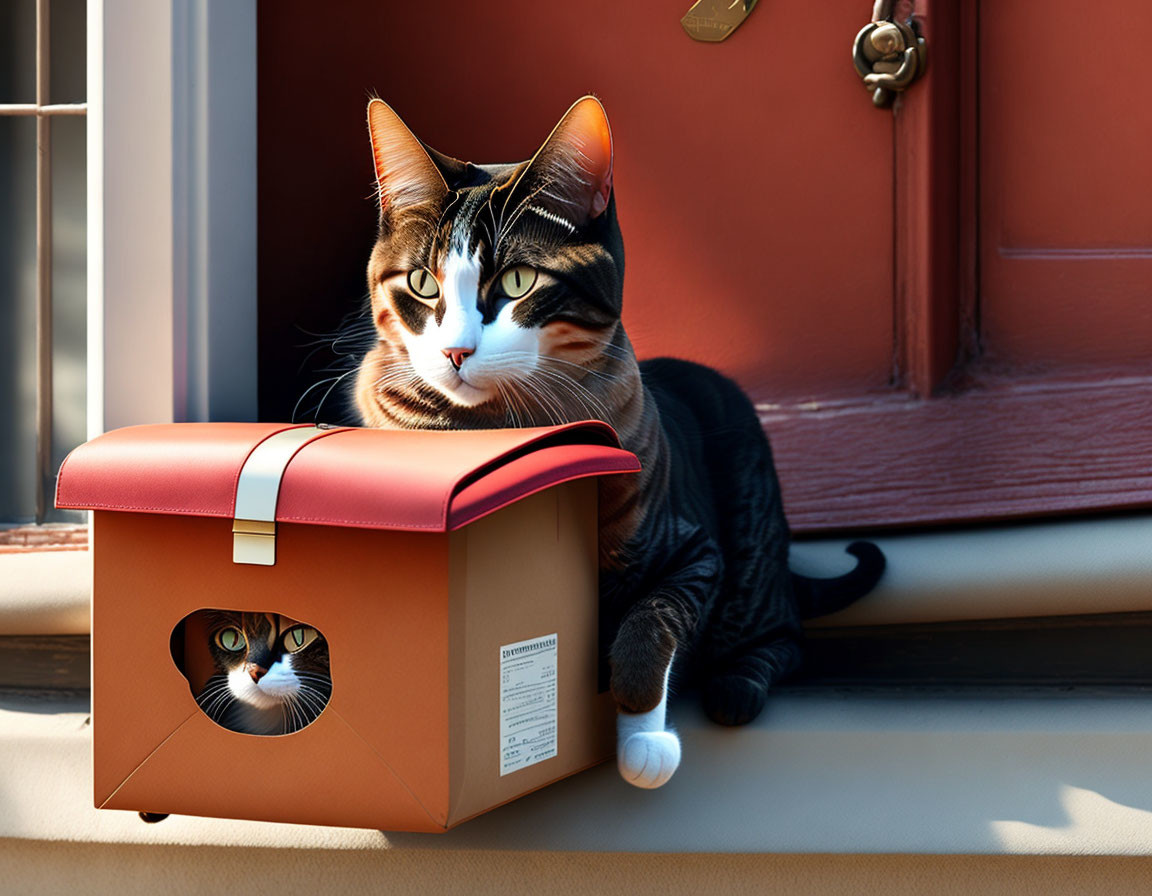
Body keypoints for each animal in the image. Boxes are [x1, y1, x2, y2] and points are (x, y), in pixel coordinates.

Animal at [350, 94, 880, 787]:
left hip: (752, 547)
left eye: (518, 281)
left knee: (783, 636)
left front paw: (643, 741)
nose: (456, 351)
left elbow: (648, 625)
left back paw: (737, 683)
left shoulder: (693, 551)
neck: (488, 423)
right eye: (422, 283)